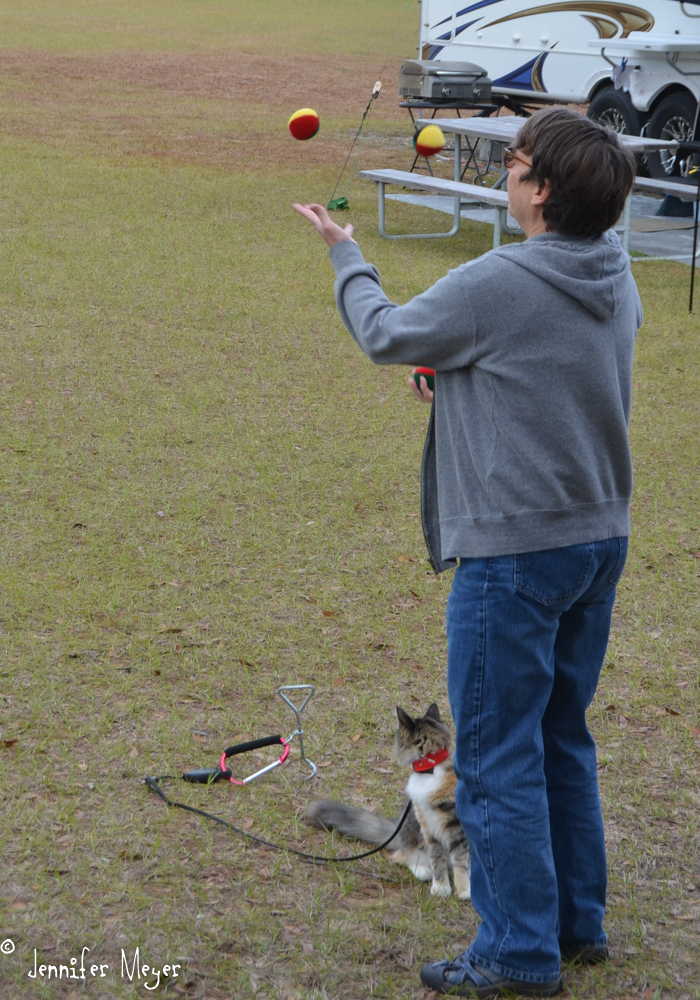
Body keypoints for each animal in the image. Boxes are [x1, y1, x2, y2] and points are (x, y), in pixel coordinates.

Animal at [304, 704, 470, 900]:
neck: (432, 767)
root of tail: (399, 830)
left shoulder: (455, 824)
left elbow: (460, 859)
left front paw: (464, 890)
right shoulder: (427, 824)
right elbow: (437, 859)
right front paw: (441, 887)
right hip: (414, 828)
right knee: (401, 855)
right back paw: (423, 871)